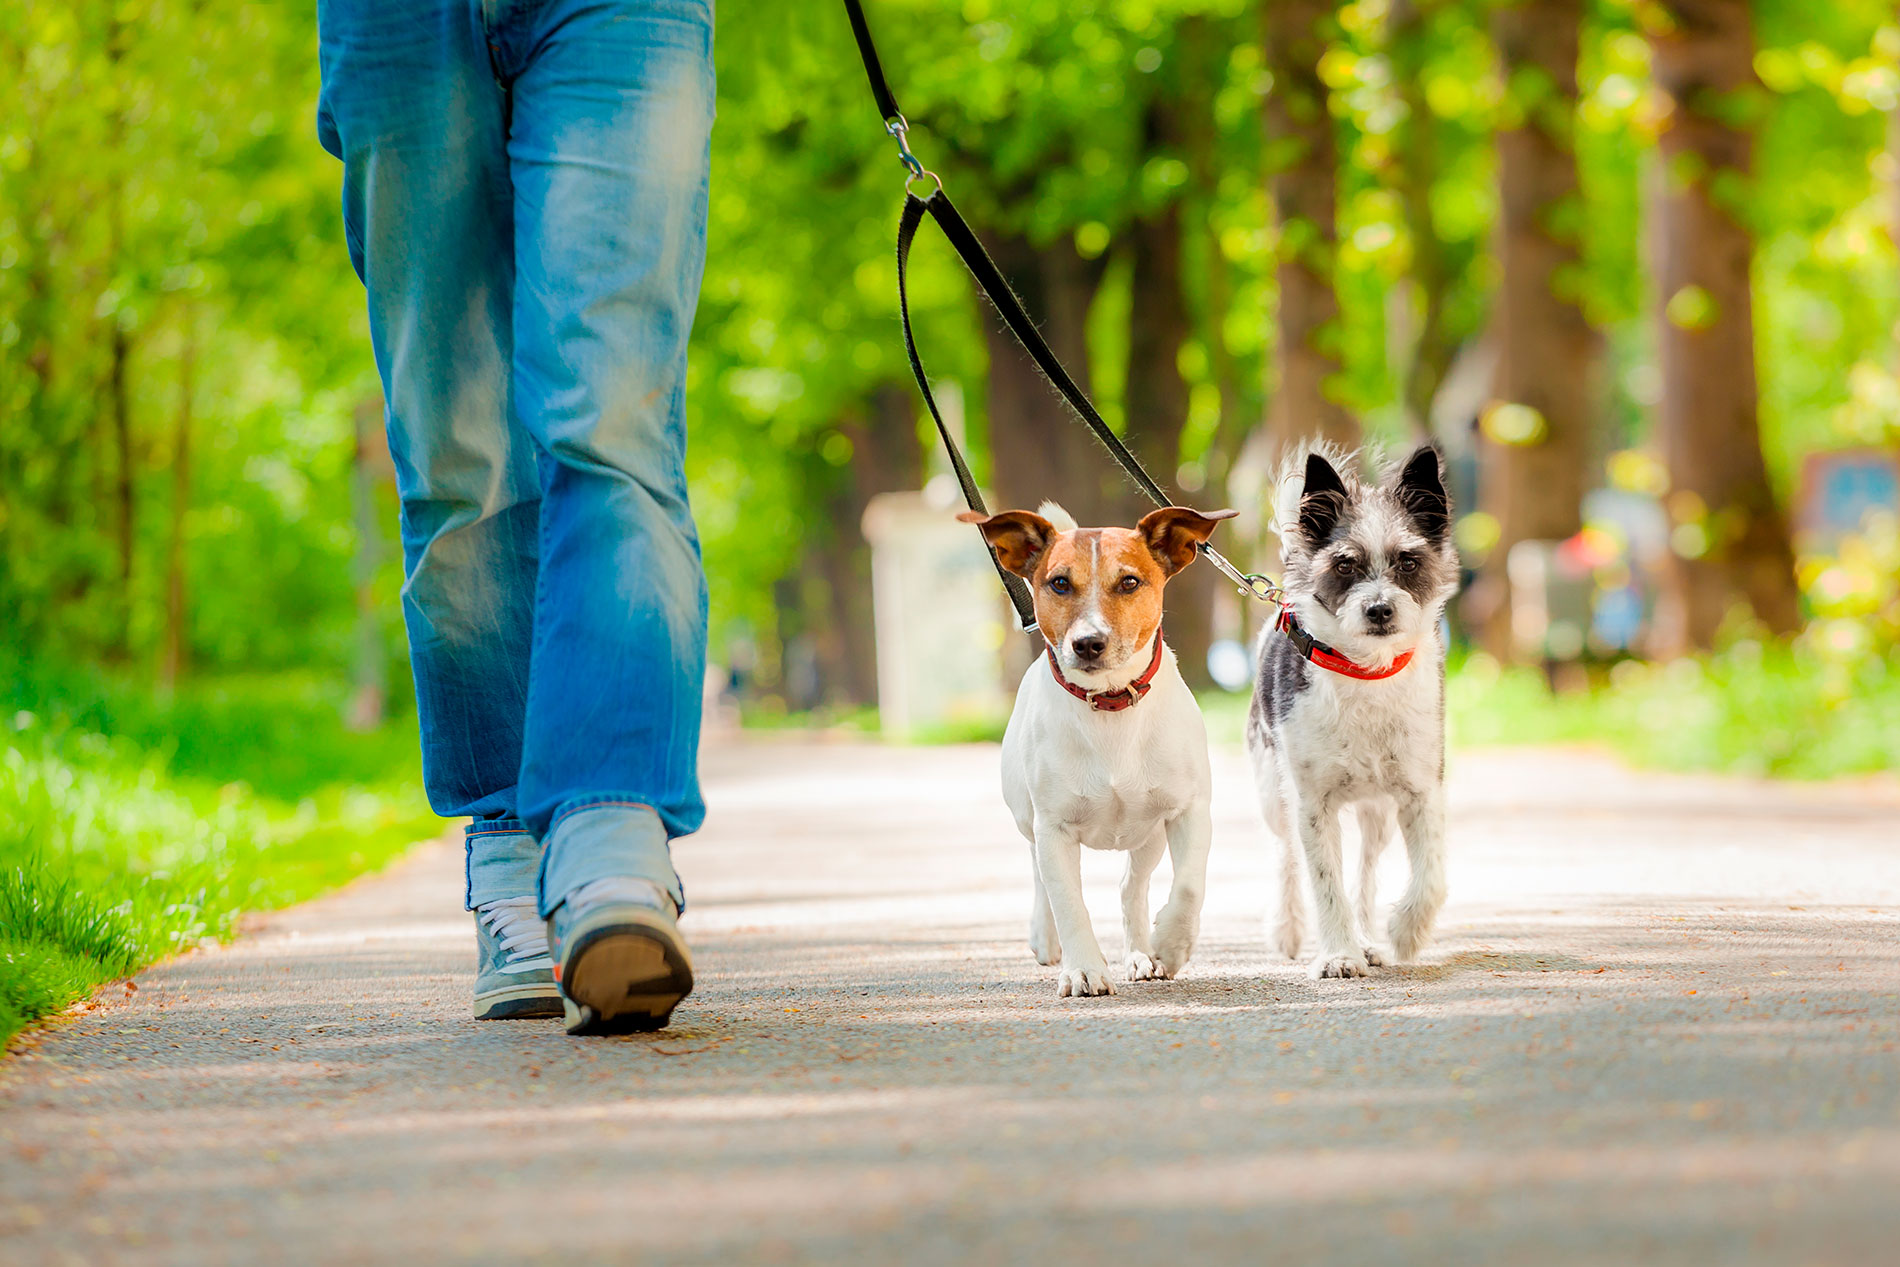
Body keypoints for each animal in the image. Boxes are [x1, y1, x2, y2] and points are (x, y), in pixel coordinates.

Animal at [957, 501, 1238, 995]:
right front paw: (1084, 968)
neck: (1109, 704)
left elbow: (1188, 886)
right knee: (1040, 877)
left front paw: (1170, 945)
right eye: (1059, 583)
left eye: (1129, 582)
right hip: (1028, 820)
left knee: (1131, 886)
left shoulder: (1189, 811)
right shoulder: (1054, 828)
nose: (1088, 643)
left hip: (1148, 835)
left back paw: (1141, 953)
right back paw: (1047, 939)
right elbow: (1069, 902)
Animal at [1246, 446, 1451, 980]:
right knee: (1286, 856)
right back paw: (1289, 928)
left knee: (1366, 870)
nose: (1379, 609)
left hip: (1376, 813)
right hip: (1272, 790)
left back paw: (1368, 938)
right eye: (1344, 565)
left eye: (1408, 561)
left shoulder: (1421, 792)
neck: (1365, 673)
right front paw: (1338, 954)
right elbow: (1324, 882)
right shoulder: (1312, 804)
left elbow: (1432, 876)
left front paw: (1404, 932)